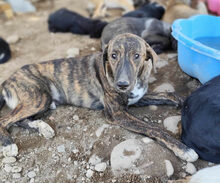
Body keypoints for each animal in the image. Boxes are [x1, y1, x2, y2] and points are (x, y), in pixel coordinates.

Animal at [0, 33, 199, 162]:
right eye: (113, 55)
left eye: (137, 56)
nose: (122, 85)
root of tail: (7, 80)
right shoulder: (117, 114)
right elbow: (154, 128)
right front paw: (184, 149)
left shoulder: (137, 98)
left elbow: (169, 94)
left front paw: (186, 102)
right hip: (38, 98)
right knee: (5, 120)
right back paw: (9, 145)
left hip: (40, 102)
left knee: (20, 120)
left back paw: (43, 128)